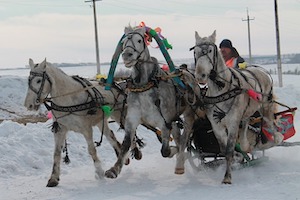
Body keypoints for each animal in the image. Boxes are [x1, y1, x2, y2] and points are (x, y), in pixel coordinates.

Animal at [24, 58, 139, 187]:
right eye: (29, 80)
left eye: (39, 80)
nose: (28, 104)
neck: (68, 99)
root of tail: (116, 85)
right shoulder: (60, 129)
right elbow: (56, 153)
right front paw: (53, 178)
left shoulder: (86, 129)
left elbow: (91, 150)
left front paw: (99, 171)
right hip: (101, 121)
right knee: (111, 137)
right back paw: (123, 157)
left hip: (120, 115)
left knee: (130, 133)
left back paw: (135, 151)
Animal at [103, 26, 197, 178]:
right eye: (124, 41)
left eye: (139, 40)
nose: (127, 55)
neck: (144, 87)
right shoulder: (131, 121)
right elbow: (125, 145)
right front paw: (114, 169)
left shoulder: (164, 123)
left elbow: (165, 151)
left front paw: (173, 151)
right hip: (174, 120)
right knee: (178, 135)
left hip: (188, 115)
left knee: (184, 138)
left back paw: (180, 163)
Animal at [192, 30, 284, 184]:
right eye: (196, 52)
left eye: (210, 50)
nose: (200, 76)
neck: (221, 88)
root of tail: (260, 70)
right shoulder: (216, 126)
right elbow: (224, 150)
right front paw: (236, 159)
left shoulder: (233, 122)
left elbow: (229, 150)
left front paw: (227, 177)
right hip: (247, 111)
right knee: (246, 123)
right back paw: (246, 145)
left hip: (265, 106)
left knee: (270, 123)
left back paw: (275, 139)